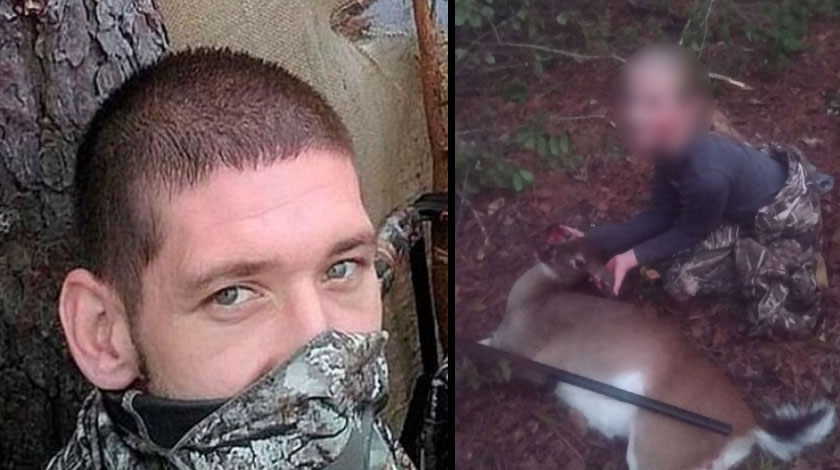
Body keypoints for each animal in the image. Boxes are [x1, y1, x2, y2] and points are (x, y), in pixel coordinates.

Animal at [480, 236, 835, 470]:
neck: (532, 299)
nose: (542, 248)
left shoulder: (516, 345)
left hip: (660, 445)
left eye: (579, 261)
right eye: (565, 237)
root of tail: (749, 426)